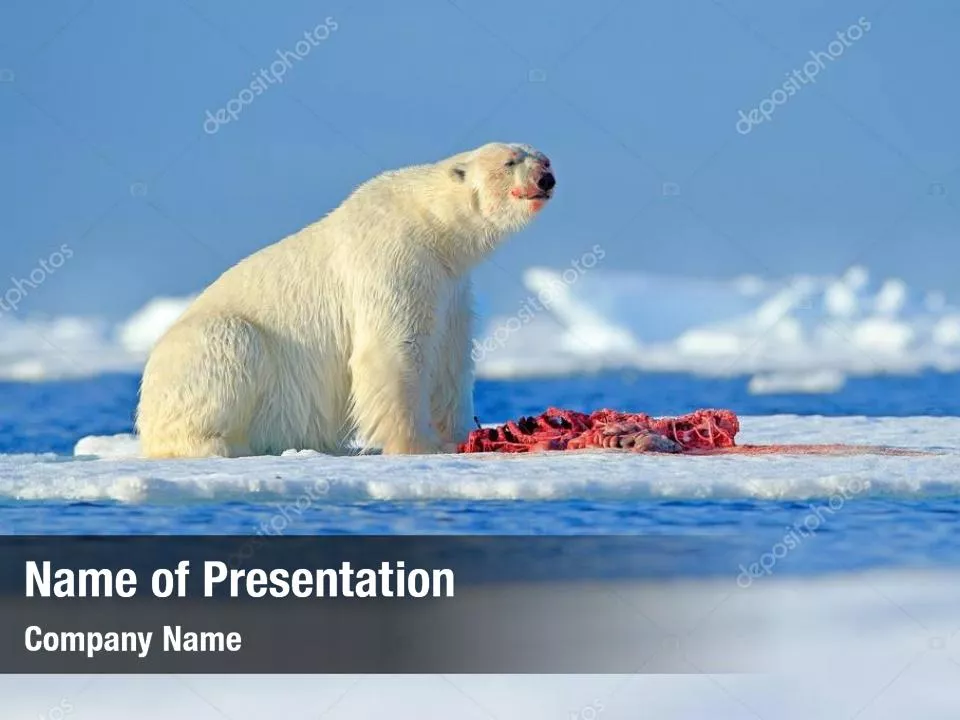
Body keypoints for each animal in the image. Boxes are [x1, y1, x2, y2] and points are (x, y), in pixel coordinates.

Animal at [136, 142, 555, 458]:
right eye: (510, 161)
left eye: (543, 158)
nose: (546, 177)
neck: (434, 228)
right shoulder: (395, 261)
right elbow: (394, 350)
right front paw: (417, 444)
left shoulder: (449, 286)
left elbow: (449, 359)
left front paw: (458, 435)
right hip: (207, 350)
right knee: (233, 346)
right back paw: (217, 445)